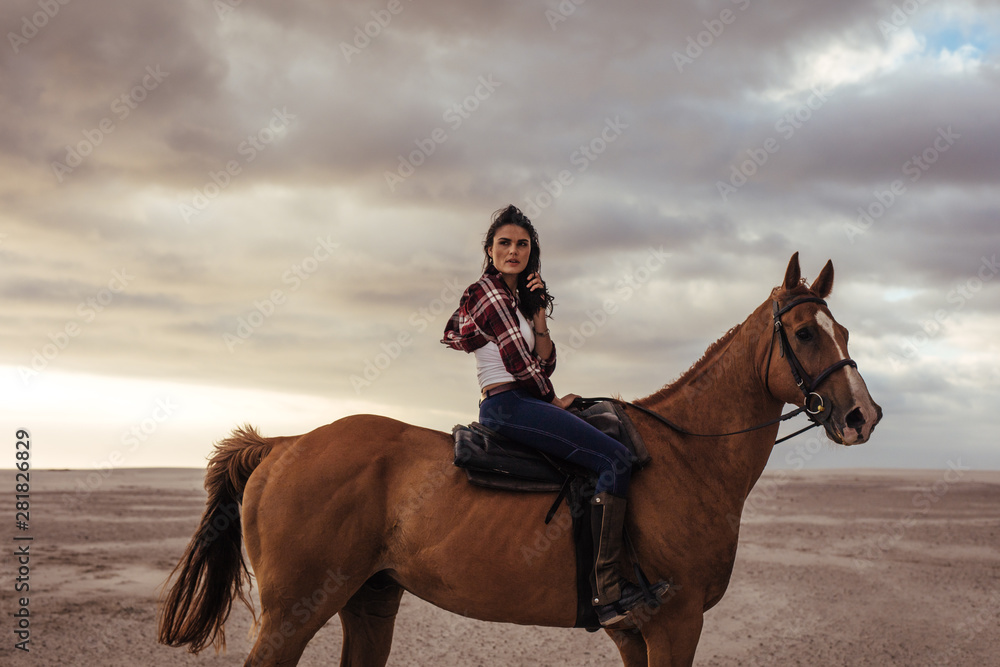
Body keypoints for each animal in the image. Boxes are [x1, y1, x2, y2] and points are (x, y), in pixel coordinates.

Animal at [158, 252, 884, 667]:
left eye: (845, 330)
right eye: (804, 333)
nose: (862, 416)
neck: (688, 456)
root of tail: (282, 446)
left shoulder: (636, 631)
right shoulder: (676, 623)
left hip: (368, 599)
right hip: (292, 613)